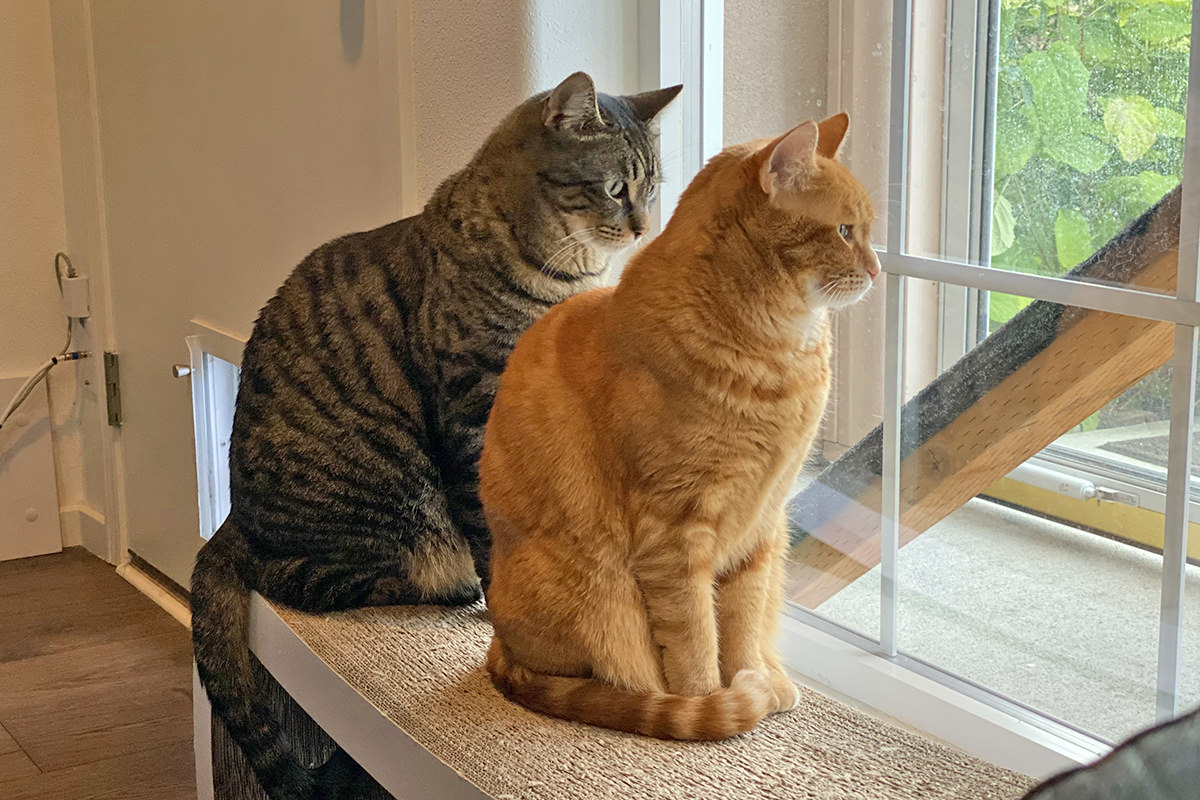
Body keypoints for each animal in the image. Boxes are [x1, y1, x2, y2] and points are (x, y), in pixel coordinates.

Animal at [192, 71, 681, 796]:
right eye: (617, 187)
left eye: (653, 187)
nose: (646, 226)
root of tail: (231, 523)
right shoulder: (472, 411)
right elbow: (487, 523)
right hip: (377, 509)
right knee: (310, 578)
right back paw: (447, 585)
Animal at [477, 110, 883, 738]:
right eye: (844, 231)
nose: (878, 269)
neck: (777, 356)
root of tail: (499, 645)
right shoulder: (674, 531)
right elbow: (694, 638)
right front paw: (710, 705)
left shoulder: (762, 524)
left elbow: (742, 624)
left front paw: (756, 681)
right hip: (591, 578)